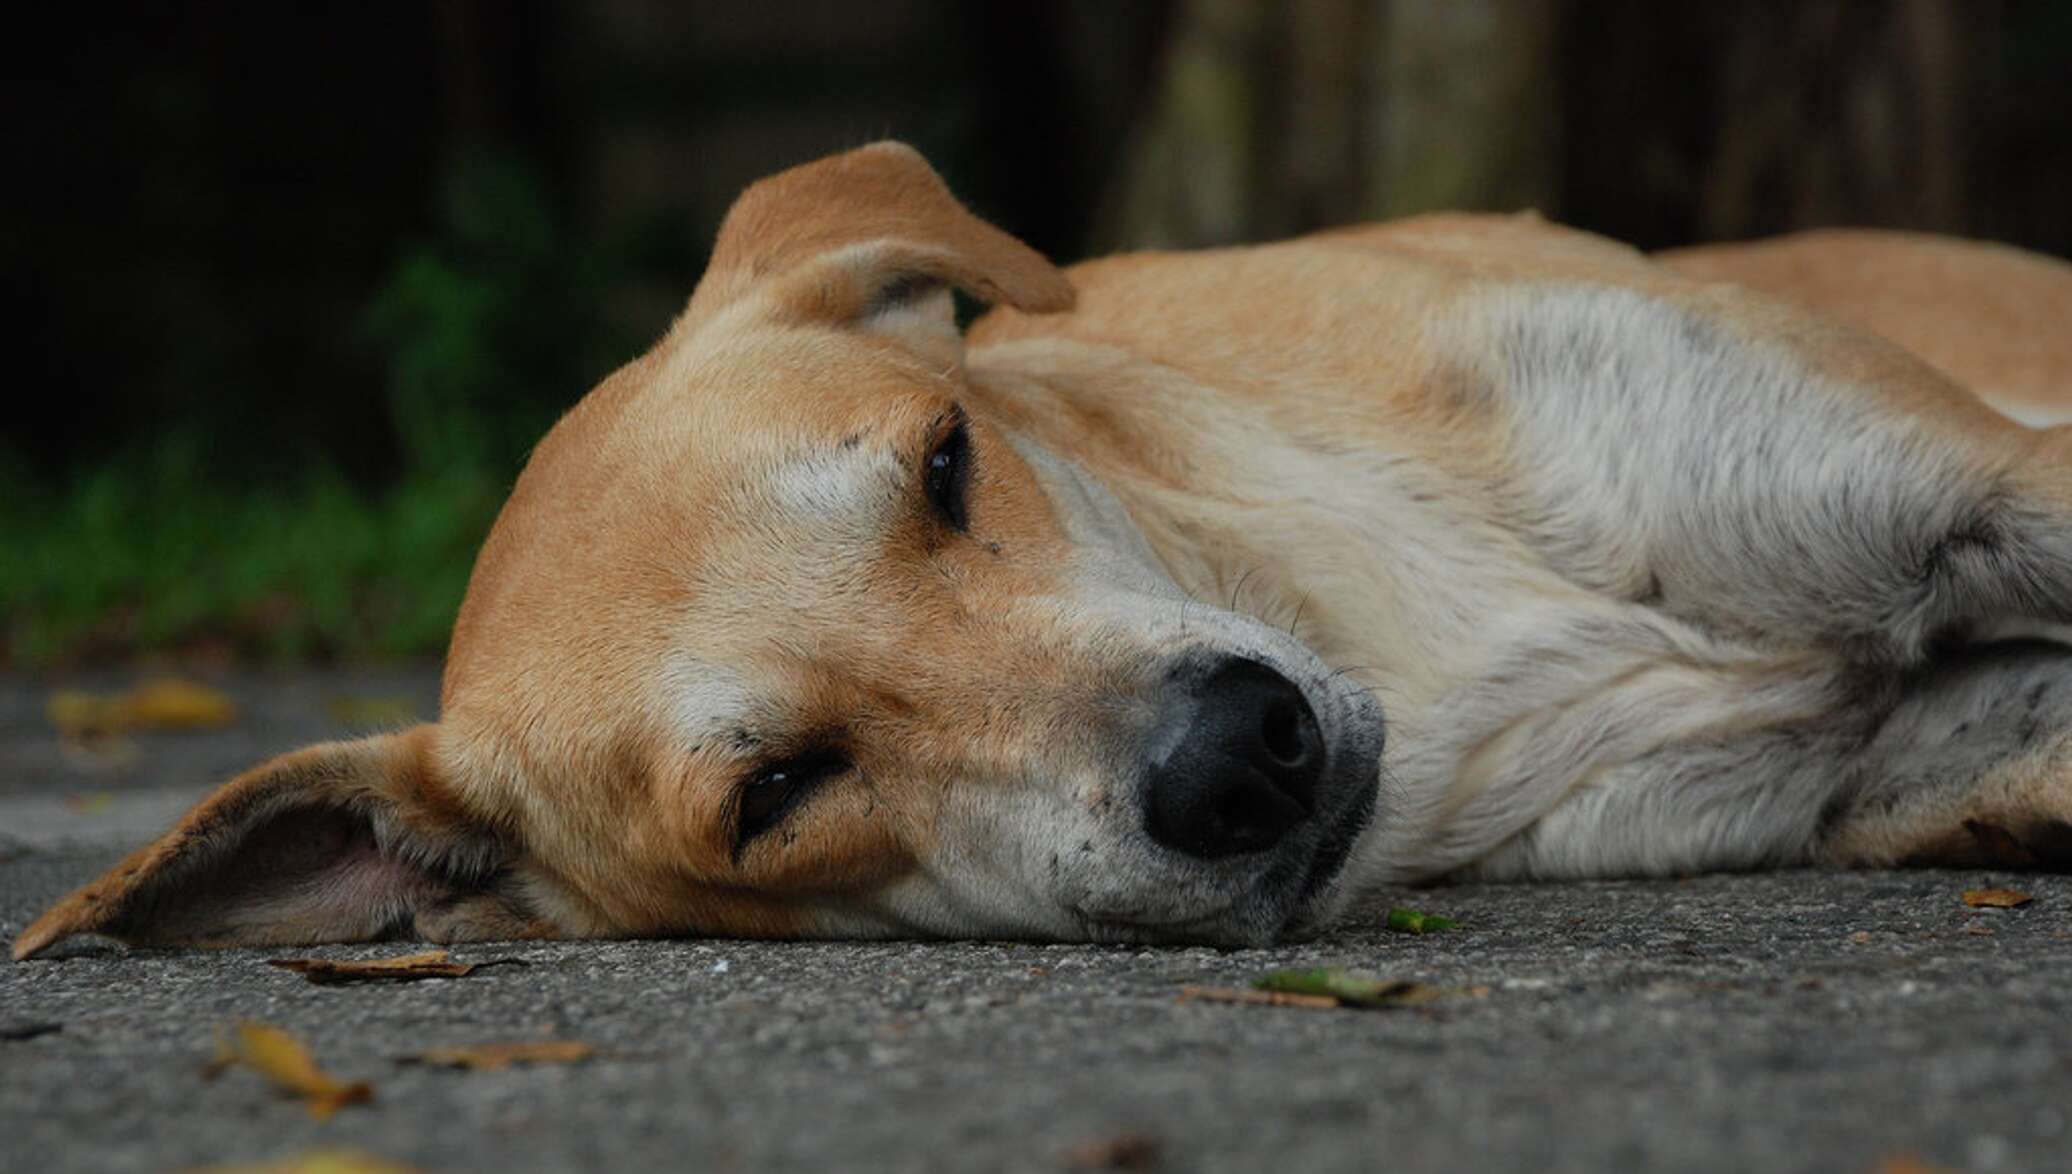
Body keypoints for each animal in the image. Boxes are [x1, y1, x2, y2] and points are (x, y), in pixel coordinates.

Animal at [16, 142, 2072, 960]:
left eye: (944, 465)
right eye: (772, 792)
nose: (1239, 760)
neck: (1424, 630)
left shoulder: (1972, 478)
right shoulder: (1876, 765)